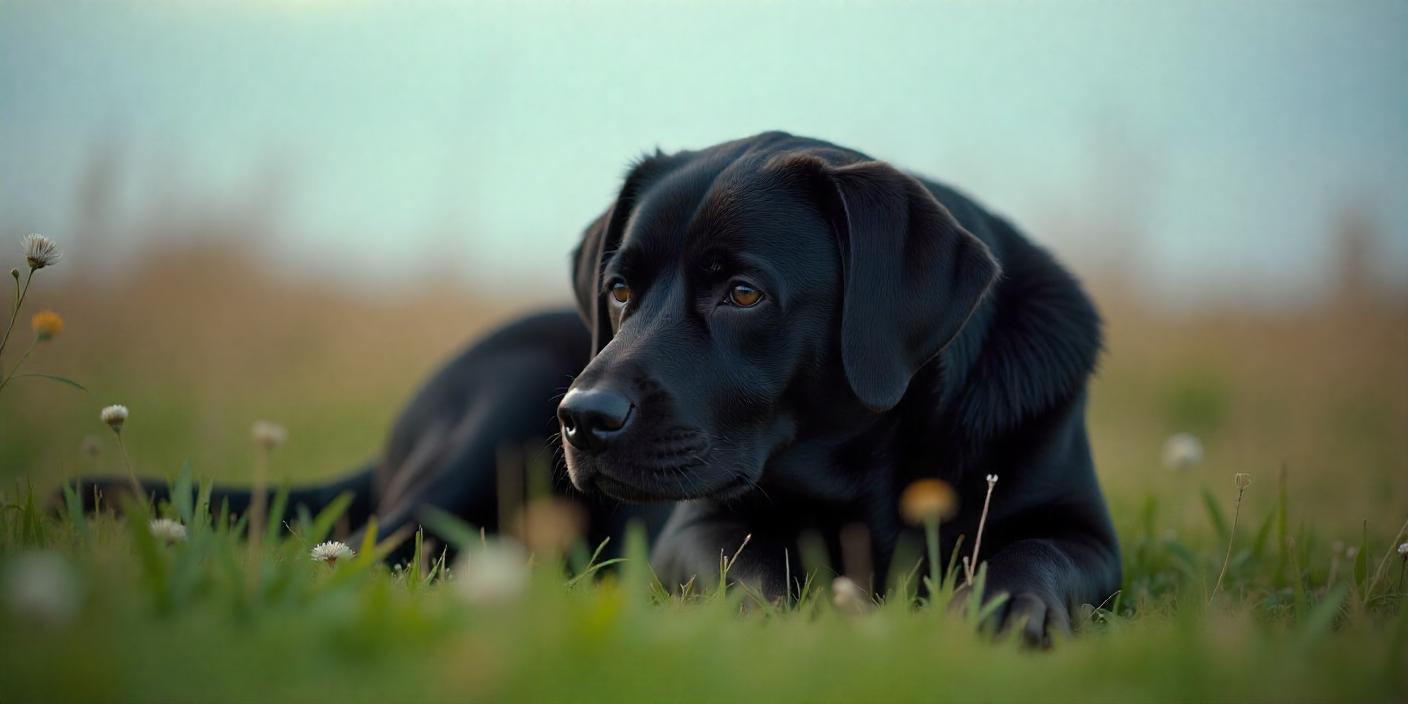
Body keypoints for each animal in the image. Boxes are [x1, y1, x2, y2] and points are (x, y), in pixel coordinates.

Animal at [79, 130, 1120, 644]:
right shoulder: (700, 529)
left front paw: (1007, 610)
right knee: (365, 548)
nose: (581, 419)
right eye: (619, 288)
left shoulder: (1083, 535)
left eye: (744, 293)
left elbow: (1041, 557)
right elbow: (752, 575)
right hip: (493, 413)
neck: (864, 471)